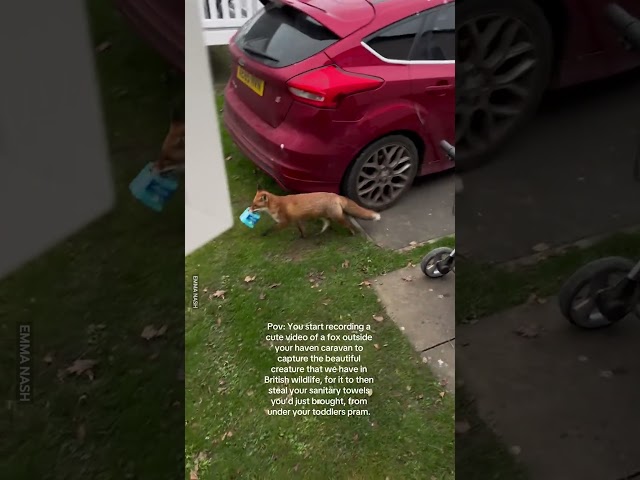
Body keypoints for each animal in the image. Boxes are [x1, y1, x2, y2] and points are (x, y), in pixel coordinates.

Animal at [249, 189, 380, 238]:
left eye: (255, 205)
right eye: (252, 204)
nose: (249, 210)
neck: (276, 205)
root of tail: (336, 195)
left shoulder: (284, 222)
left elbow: (271, 228)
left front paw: (264, 234)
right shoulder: (297, 220)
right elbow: (301, 229)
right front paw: (303, 236)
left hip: (337, 218)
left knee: (348, 224)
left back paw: (352, 233)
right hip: (323, 216)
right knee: (327, 223)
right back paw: (320, 233)